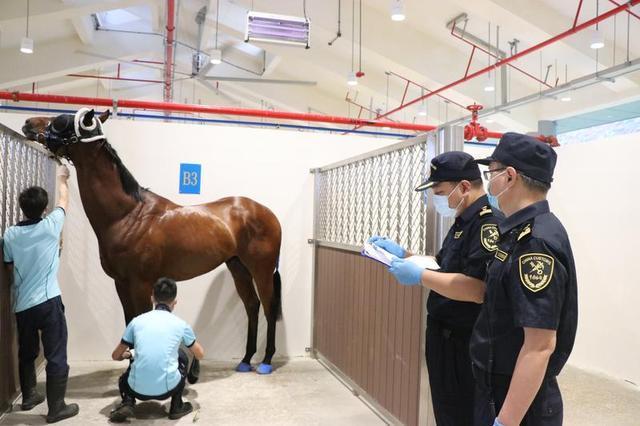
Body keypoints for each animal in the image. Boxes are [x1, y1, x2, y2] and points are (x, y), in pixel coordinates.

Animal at [21, 108, 283, 374]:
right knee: (252, 305)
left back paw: (266, 361)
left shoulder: (141, 284)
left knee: (269, 306)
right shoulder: (122, 284)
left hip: (261, 269)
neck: (127, 215)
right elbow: (130, 322)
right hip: (238, 267)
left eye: (62, 120)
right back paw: (246, 359)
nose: (28, 123)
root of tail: (265, 212)